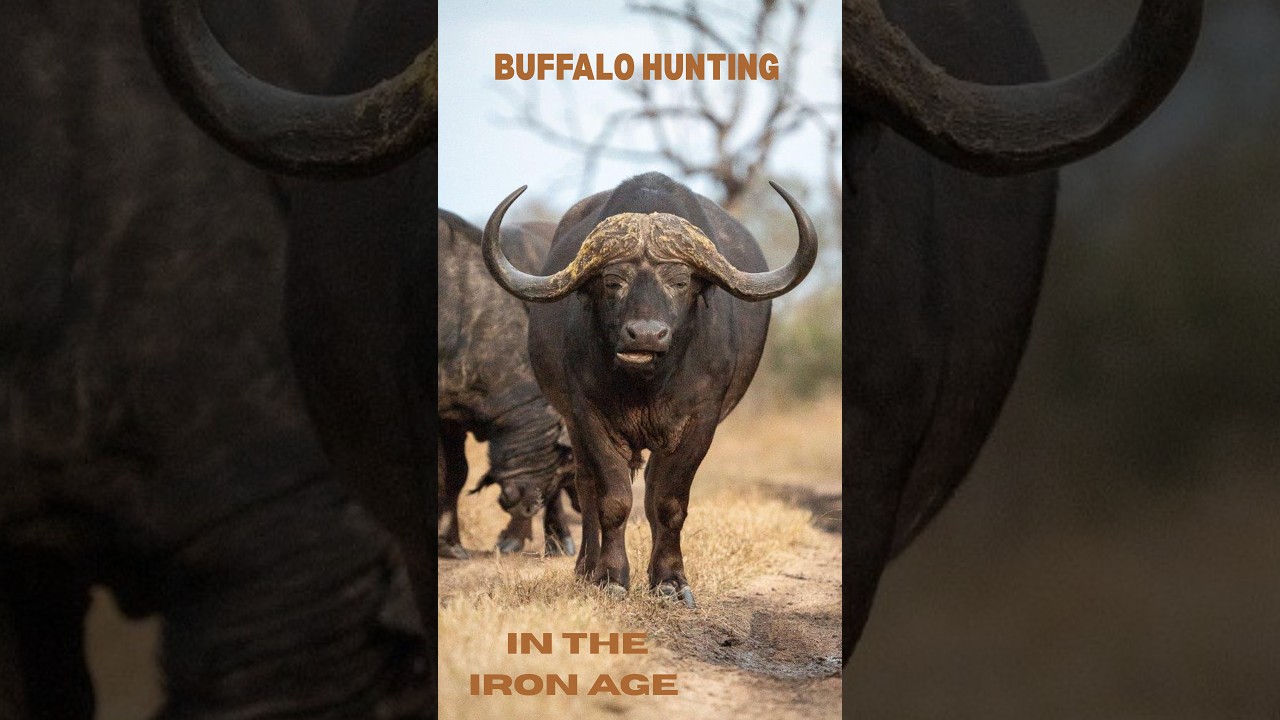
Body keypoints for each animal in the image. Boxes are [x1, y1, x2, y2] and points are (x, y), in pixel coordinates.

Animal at [480, 172, 818, 606]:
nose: (645, 334)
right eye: (613, 281)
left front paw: (670, 581)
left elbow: (669, 501)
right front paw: (609, 577)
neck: (648, 384)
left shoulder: (699, 422)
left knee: (654, 485)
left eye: (680, 281)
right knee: (586, 488)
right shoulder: (589, 417)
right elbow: (612, 499)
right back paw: (585, 568)